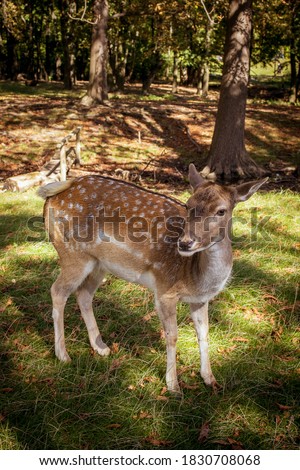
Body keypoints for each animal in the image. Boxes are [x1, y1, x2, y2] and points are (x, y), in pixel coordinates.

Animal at [38, 163, 268, 394]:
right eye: (188, 204)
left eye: (221, 211)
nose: (185, 243)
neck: (196, 276)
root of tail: (55, 192)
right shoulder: (164, 289)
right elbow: (172, 335)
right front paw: (173, 386)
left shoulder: (200, 299)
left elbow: (204, 333)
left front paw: (210, 379)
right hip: (73, 254)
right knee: (57, 291)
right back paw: (63, 355)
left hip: (98, 264)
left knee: (83, 294)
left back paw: (101, 347)